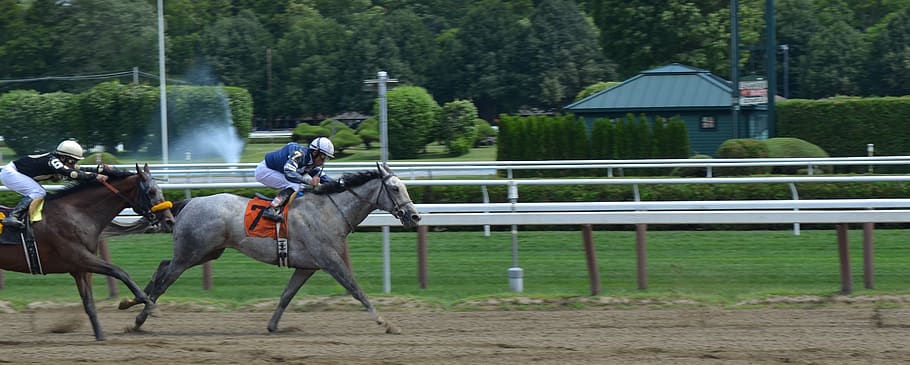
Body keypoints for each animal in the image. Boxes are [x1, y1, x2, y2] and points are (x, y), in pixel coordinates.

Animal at [0, 164, 175, 340]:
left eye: (160, 190)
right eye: (151, 192)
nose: (170, 221)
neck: (77, 214)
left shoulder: (80, 269)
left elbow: (89, 303)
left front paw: (100, 336)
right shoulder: (80, 257)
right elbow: (120, 272)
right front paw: (149, 306)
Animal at [117, 164, 424, 334]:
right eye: (395, 189)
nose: (414, 216)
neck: (329, 211)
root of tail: (189, 202)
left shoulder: (307, 266)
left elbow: (287, 296)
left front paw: (273, 326)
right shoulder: (330, 260)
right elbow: (356, 289)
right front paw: (386, 322)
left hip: (205, 251)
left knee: (162, 266)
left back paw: (132, 302)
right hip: (192, 252)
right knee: (166, 279)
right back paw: (140, 317)